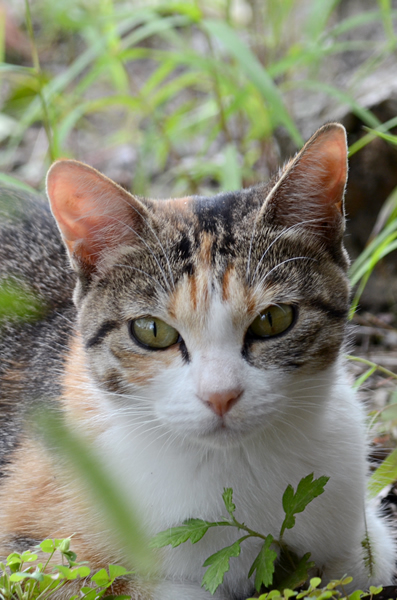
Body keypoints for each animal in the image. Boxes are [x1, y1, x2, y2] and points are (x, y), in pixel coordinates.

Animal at [0, 123, 394, 600]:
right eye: (151, 331)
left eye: (274, 320)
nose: (220, 395)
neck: (232, 468)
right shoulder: (29, 555)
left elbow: (369, 564)